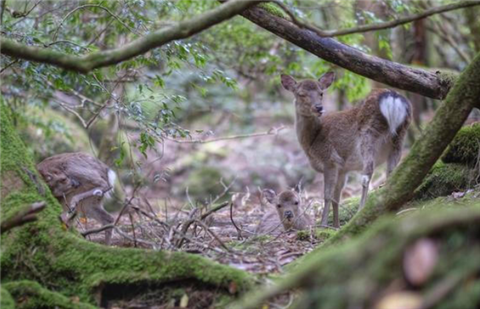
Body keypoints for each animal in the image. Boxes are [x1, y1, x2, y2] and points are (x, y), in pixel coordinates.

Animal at [282, 71, 412, 226]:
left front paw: (323, 224)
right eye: (301, 94)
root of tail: (393, 98)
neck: (311, 141)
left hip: (368, 135)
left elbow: (327, 195)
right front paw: (336, 226)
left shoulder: (330, 159)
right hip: (400, 136)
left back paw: (360, 212)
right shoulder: (343, 169)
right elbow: (336, 199)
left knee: (367, 175)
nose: (319, 107)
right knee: (391, 173)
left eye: (321, 93)